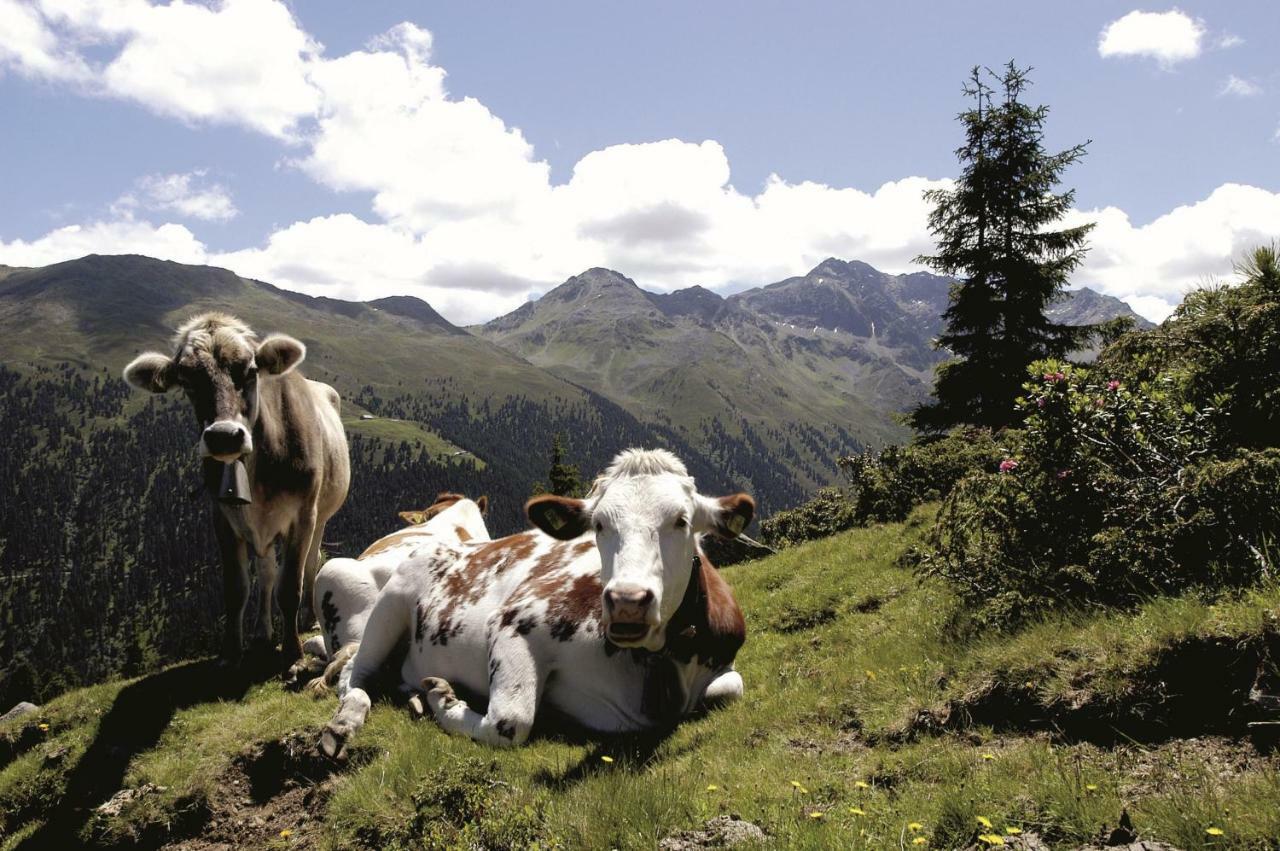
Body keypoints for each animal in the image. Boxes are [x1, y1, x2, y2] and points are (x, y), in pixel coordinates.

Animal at [124, 312, 350, 665]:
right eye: (186, 379)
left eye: (250, 370)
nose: (224, 436)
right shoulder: (223, 518)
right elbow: (237, 589)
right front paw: (231, 651)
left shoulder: (303, 515)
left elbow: (290, 585)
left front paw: (292, 650)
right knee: (267, 573)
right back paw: (262, 633)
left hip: (321, 516)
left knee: (311, 563)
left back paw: (307, 619)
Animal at [320, 447, 752, 752]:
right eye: (599, 524)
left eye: (681, 521)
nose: (627, 601)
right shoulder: (514, 621)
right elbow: (511, 721)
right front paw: (445, 698)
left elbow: (731, 687)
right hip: (387, 607)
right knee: (355, 672)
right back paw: (346, 721)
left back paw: (412, 699)